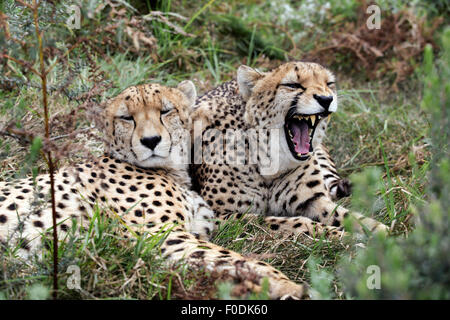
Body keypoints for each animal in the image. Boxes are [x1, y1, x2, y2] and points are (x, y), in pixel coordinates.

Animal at [0, 80, 306, 300]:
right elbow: (234, 257)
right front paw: (287, 286)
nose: (150, 141)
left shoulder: (196, 231)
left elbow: (238, 246)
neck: (172, 171)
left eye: (166, 111)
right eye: (126, 118)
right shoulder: (161, 236)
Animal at [192, 62, 388, 238]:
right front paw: (341, 235)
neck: (270, 159)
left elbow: (348, 216)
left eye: (329, 83)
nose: (326, 99)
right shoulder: (216, 215)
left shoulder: (314, 200)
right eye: (292, 85)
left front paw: (381, 232)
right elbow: (282, 222)